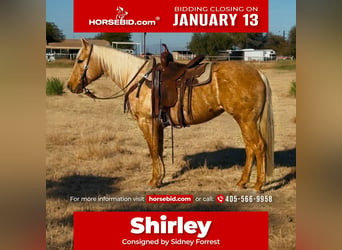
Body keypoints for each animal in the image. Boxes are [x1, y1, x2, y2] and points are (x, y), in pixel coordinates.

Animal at [67, 38, 276, 191]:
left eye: (79, 60)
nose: (70, 86)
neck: (139, 78)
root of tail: (258, 73)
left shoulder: (146, 122)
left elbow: (152, 150)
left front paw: (154, 181)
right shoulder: (157, 123)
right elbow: (158, 149)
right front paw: (160, 178)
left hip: (246, 120)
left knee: (258, 146)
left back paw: (258, 185)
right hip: (245, 120)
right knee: (250, 147)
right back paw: (242, 182)